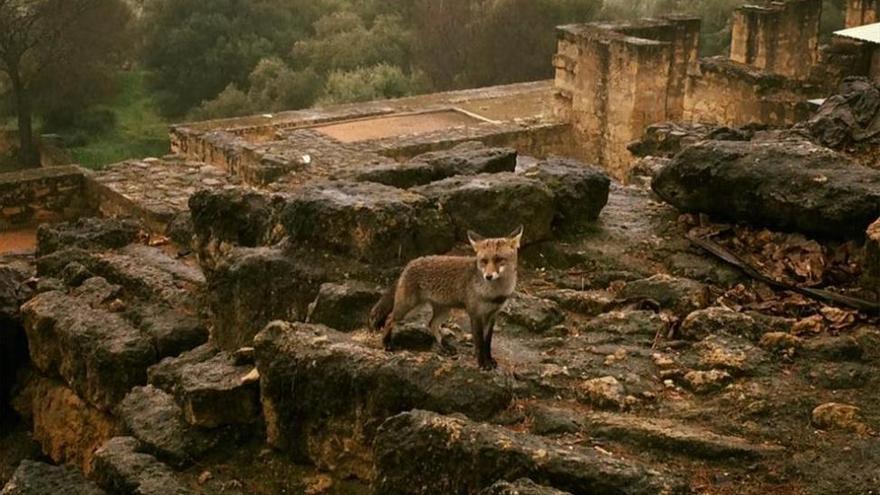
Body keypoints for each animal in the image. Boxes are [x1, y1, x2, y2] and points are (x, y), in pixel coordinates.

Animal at [366, 227, 524, 370]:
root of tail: (410, 263)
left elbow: (487, 343)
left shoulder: (492, 315)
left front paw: (489, 360)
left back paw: (444, 346)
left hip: (443, 310)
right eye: (484, 261)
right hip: (408, 308)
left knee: (431, 324)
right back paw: (386, 343)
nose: (488, 276)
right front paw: (482, 364)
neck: (494, 294)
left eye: (499, 259)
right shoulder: (475, 314)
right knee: (389, 318)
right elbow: (479, 343)